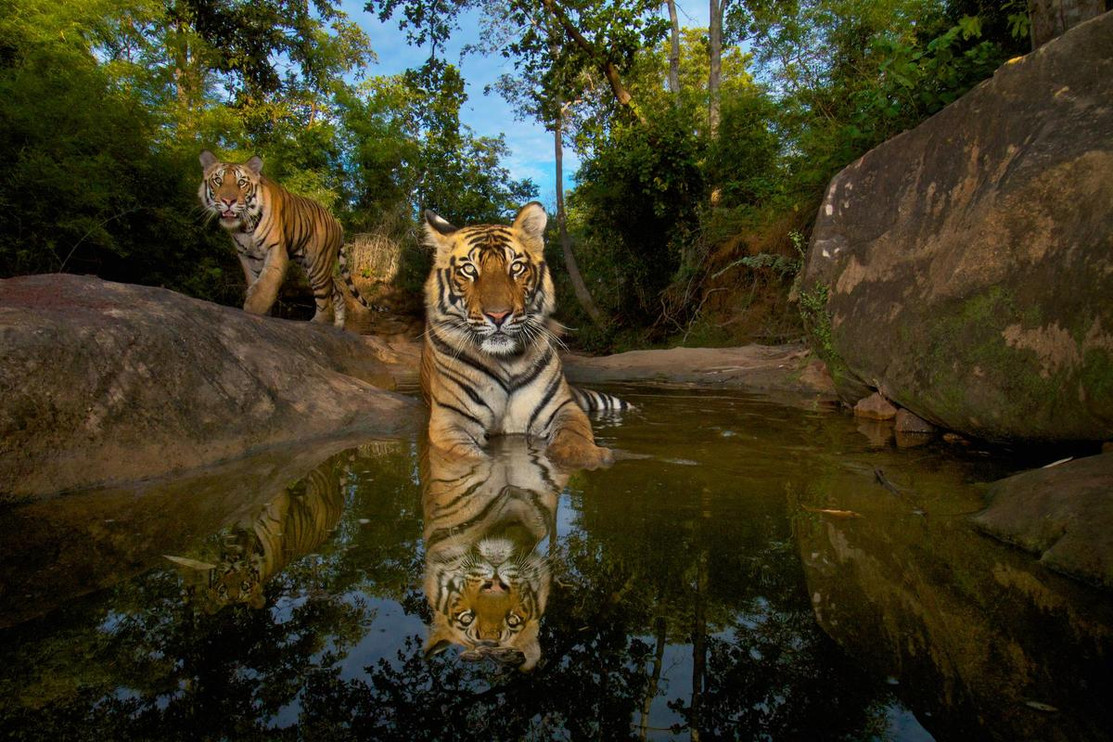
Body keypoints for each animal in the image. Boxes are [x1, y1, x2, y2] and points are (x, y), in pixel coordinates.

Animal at [198, 149, 376, 327]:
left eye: (241, 182)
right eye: (218, 181)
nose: (228, 201)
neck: (245, 227)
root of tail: (337, 223)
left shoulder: (277, 250)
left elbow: (266, 284)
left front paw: (253, 308)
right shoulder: (247, 256)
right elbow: (255, 281)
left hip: (317, 264)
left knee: (324, 301)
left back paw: (317, 322)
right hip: (312, 266)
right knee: (337, 292)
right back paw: (338, 327)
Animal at [418, 203, 627, 469]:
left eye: (516, 267)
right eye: (469, 269)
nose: (498, 315)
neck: (506, 360)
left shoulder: (562, 407)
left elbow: (575, 435)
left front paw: (588, 457)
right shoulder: (451, 421)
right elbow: (471, 459)